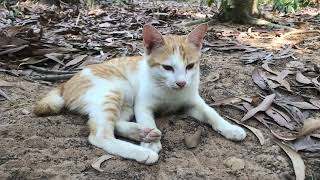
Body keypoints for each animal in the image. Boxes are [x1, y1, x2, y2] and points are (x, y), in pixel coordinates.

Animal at [33, 23, 246, 165]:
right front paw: (150, 146)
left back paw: (142, 133)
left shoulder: (193, 102)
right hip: (116, 89)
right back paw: (143, 149)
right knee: (100, 135)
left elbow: (212, 114)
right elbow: (146, 117)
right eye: (167, 67)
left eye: (190, 66)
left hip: (125, 101)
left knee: (114, 123)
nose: (181, 82)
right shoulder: (142, 105)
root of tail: (66, 82)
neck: (170, 93)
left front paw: (230, 128)